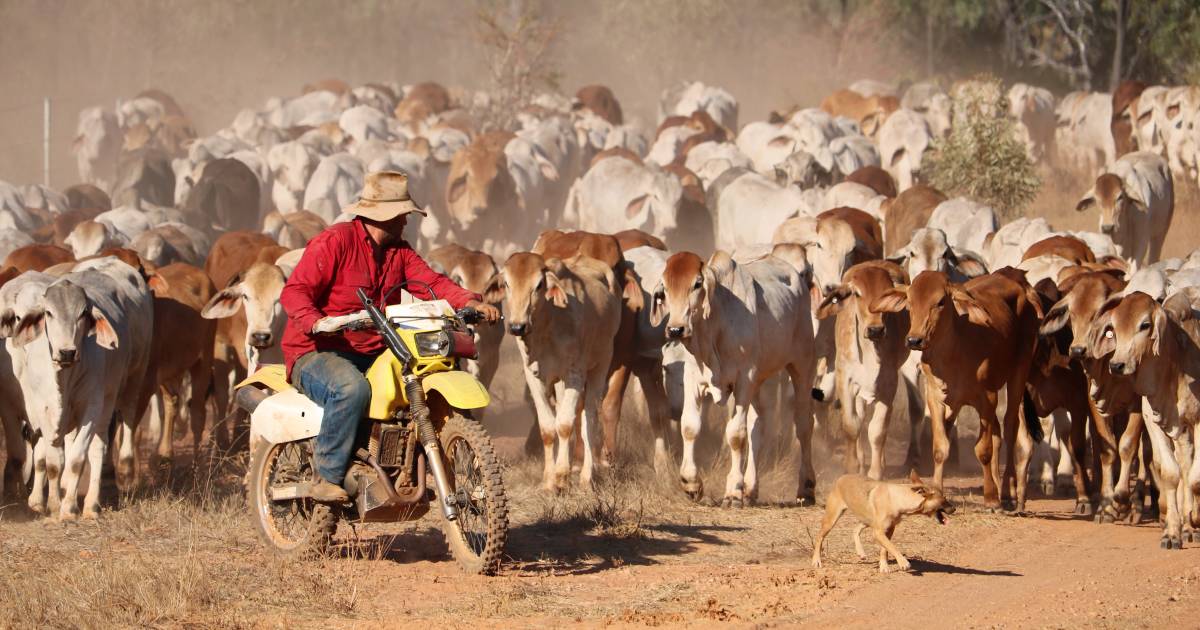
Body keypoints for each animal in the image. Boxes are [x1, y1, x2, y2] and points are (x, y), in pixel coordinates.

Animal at [806, 470, 955, 568]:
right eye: (944, 499)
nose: (954, 509)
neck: (899, 499)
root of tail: (842, 477)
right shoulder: (878, 532)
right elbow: (891, 546)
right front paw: (903, 562)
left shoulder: (888, 530)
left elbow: (885, 548)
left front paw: (883, 566)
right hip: (832, 519)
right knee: (819, 537)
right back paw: (816, 560)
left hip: (867, 519)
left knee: (855, 529)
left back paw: (861, 552)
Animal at [878, 266, 1046, 511]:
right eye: (909, 301)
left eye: (940, 302)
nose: (914, 340)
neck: (954, 351)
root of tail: (1015, 277)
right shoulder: (936, 398)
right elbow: (941, 448)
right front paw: (938, 493)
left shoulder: (987, 398)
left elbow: (983, 450)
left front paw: (991, 498)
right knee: (998, 434)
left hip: (1019, 373)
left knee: (1010, 428)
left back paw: (1006, 491)